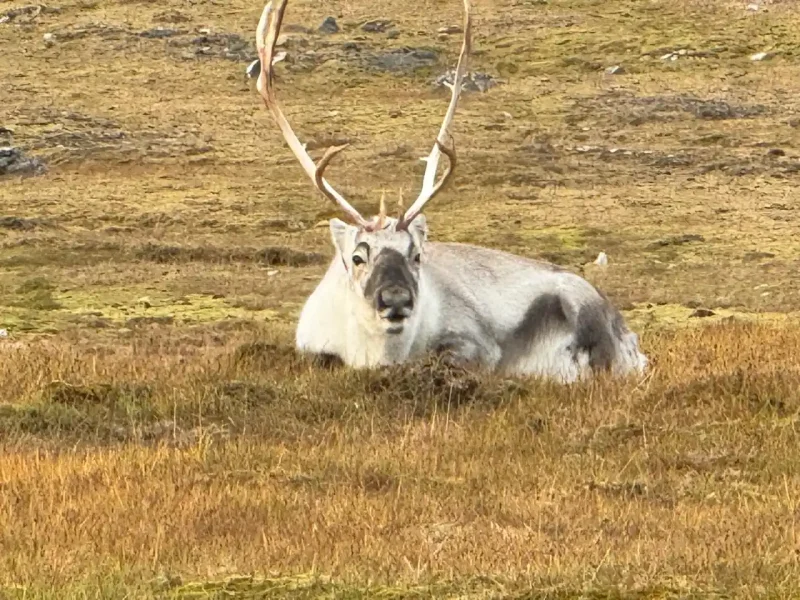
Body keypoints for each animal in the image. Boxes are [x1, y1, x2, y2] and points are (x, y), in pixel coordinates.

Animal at [252, 0, 648, 383]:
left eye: (416, 255)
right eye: (358, 256)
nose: (396, 300)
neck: (375, 355)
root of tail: (629, 337)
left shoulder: (473, 342)